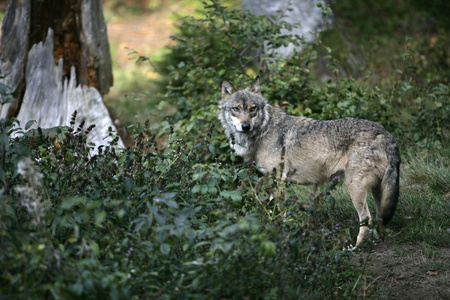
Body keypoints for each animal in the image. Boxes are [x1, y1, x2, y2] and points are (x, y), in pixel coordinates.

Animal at [218, 76, 400, 247]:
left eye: (252, 109)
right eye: (236, 109)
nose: (245, 126)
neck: (264, 130)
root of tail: (386, 135)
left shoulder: (279, 180)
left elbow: (278, 213)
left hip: (355, 187)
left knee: (367, 219)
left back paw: (355, 247)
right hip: (377, 190)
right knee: (379, 219)